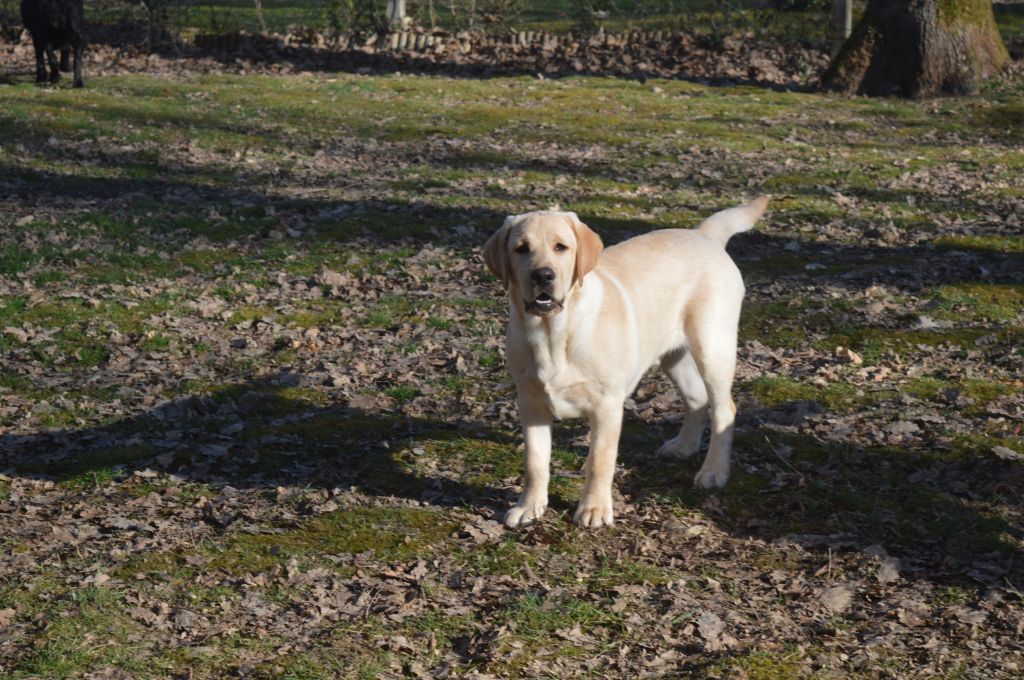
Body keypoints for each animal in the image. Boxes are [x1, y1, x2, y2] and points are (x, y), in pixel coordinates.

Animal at [487, 196, 770, 524]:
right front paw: (528, 506)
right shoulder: (530, 403)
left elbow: (600, 460)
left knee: (724, 409)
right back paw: (684, 446)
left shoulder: (606, 404)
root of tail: (703, 234)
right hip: (673, 356)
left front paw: (594, 509)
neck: (552, 333)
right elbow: (535, 461)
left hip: (713, 346)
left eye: (561, 247)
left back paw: (714, 472)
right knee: (696, 399)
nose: (543, 275)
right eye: (521, 248)